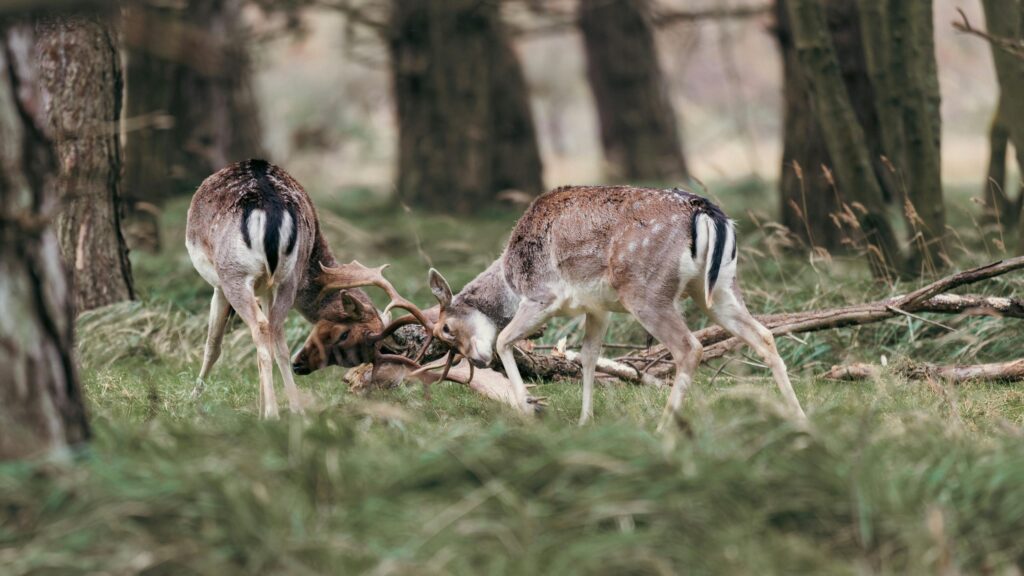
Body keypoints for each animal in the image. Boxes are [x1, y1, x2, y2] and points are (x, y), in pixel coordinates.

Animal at [186, 159, 435, 418]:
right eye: (347, 335)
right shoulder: (266, 287)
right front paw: (260, 405)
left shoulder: (220, 284)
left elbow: (213, 344)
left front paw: (192, 399)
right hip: (286, 277)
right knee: (276, 333)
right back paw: (294, 408)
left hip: (233, 273)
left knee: (262, 329)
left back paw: (273, 413)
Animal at [423, 185, 808, 428]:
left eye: (446, 328)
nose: (477, 361)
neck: (510, 280)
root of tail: (707, 213)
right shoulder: (598, 308)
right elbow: (588, 356)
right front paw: (585, 420)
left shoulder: (543, 295)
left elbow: (504, 339)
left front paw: (530, 409)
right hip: (720, 287)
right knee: (763, 335)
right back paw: (798, 416)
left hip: (647, 291)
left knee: (690, 347)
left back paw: (665, 428)